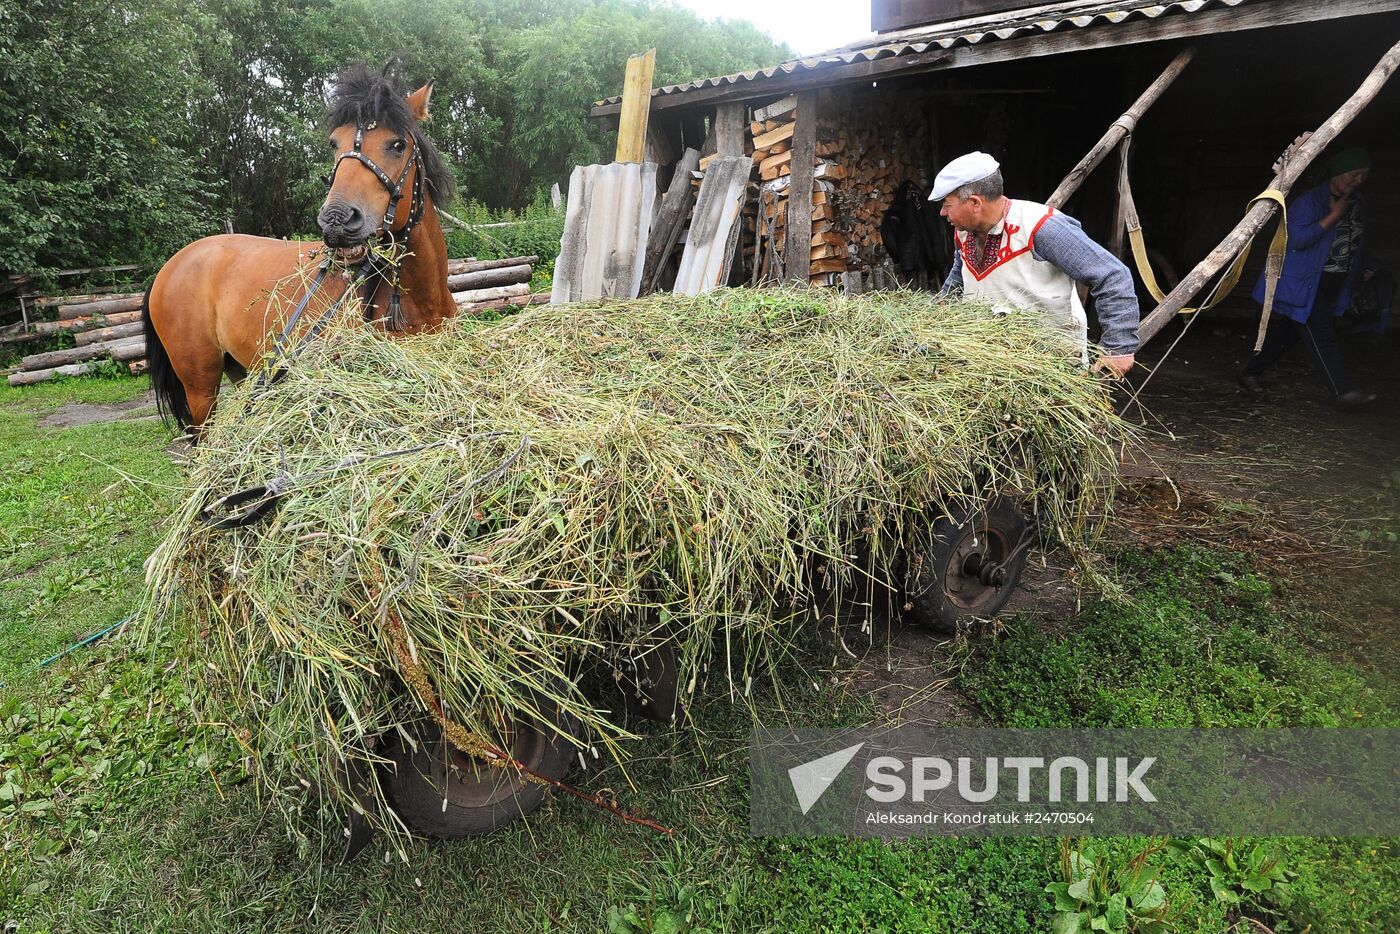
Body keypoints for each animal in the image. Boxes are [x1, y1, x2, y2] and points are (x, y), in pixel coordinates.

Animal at [144, 65, 456, 431]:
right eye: (334, 143)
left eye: (397, 144)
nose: (337, 220)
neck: (422, 300)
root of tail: (172, 264)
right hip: (200, 389)